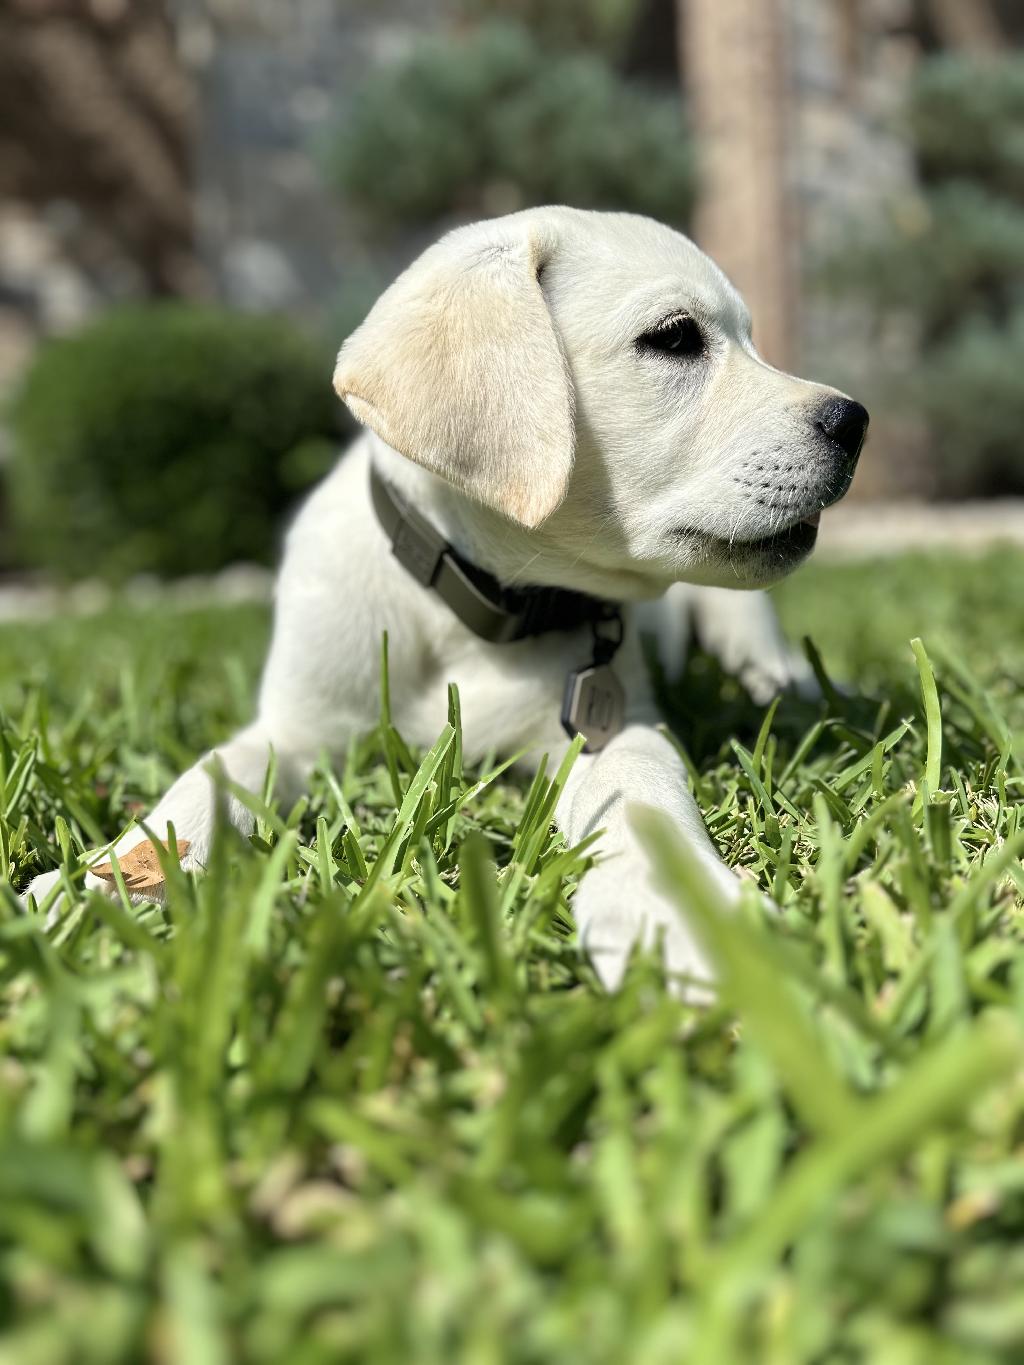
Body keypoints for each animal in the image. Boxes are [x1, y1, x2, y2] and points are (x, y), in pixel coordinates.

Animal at [24, 204, 868, 993]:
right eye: (675, 337)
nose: (855, 419)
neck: (471, 607)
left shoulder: (610, 728)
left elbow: (638, 794)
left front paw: (675, 913)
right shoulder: (294, 727)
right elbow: (210, 772)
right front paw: (101, 879)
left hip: (740, 614)